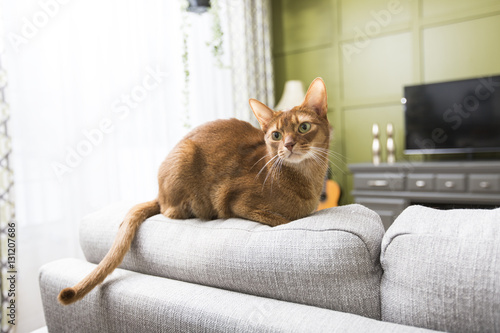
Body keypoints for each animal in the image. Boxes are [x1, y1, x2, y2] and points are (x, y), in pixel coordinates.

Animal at [58, 77, 330, 304]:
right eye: (276, 135)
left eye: (303, 128)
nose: (289, 145)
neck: (307, 179)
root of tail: (158, 193)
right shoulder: (237, 201)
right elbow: (283, 220)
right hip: (185, 156)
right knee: (168, 211)